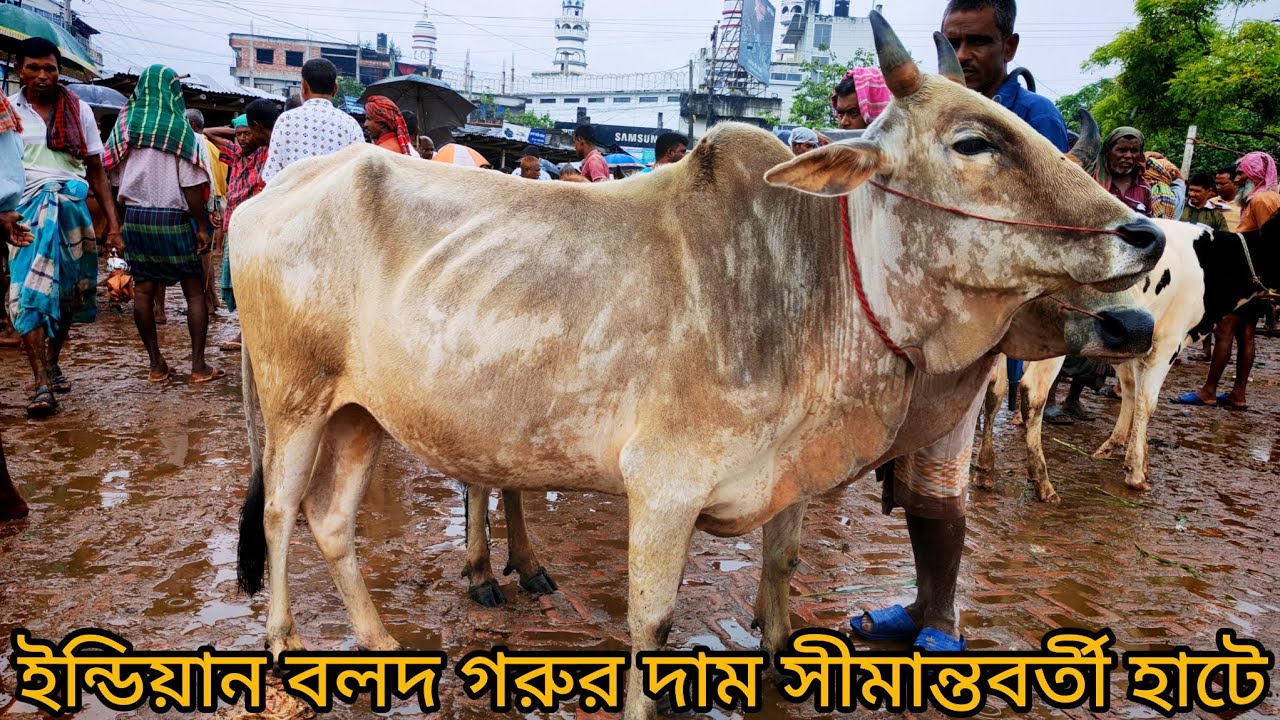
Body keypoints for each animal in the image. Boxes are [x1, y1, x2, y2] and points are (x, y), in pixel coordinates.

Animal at [231, 15, 1163, 718]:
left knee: (332, 521)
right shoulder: (663, 487)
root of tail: (267, 198)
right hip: (295, 400)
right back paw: (283, 646)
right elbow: (654, 628)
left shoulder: (790, 476)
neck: (814, 282)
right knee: (281, 512)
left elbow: (780, 584)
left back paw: (379, 643)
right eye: (973, 142)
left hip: (364, 413)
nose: (1147, 239)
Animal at [978, 214, 1278, 502]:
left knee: (994, 390)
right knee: (1033, 392)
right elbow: (1148, 401)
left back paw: (985, 469)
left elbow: (1132, 392)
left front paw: (1123, 449)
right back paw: (1042, 483)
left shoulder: (1133, 342)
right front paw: (1136, 472)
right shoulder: (1168, 342)